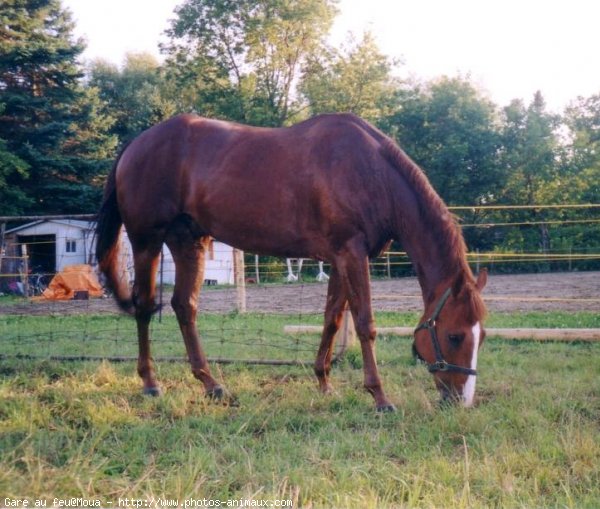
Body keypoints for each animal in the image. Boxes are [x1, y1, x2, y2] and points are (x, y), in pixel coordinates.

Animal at [95, 113, 488, 410]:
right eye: (454, 335)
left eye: (481, 336)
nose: (462, 401)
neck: (370, 172)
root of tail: (136, 144)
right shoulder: (352, 254)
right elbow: (365, 324)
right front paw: (379, 397)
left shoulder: (340, 259)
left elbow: (332, 320)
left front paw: (324, 383)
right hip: (147, 242)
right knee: (146, 307)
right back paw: (150, 383)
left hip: (189, 242)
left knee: (183, 307)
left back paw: (212, 385)